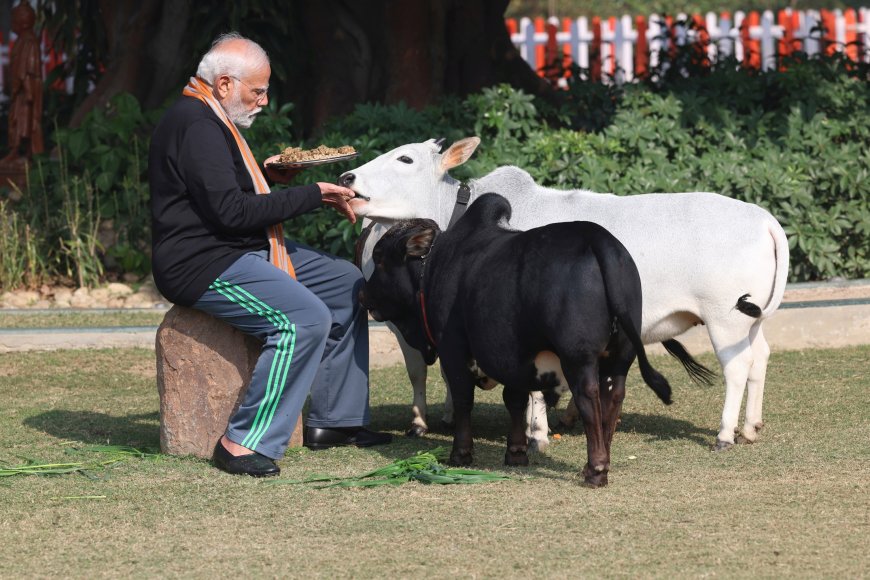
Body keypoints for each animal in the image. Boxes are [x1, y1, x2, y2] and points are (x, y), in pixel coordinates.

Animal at [343, 137, 790, 451]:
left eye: (405, 159)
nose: (347, 179)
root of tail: (764, 219)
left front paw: (536, 433)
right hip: (747, 322)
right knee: (760, 357)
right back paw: (750, 427)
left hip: (724, 318)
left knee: (737, 367)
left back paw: (726, 433)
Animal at [361, 193, 675, 487]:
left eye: (379, 258)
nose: (363, 293)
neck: (436, 265)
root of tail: (598, 238)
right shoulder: (513, 356)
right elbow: (514, 400)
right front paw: (516, 452)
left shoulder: (454, 349)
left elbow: (464, 400)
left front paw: (461, 453)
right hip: (620, 357)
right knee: (614, 396)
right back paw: (602, 462)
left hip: (579, 358)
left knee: (589, 397)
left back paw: (595, 469)